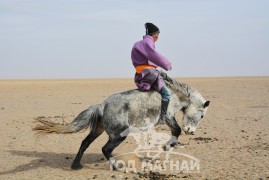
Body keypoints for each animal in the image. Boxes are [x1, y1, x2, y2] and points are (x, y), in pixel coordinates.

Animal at [32, 76, 209, 170]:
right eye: (201, 115)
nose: (191, 131)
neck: (174, 94)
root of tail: (102, 106)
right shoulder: (169, 117)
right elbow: (177, 130)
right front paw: (167, 146)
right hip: (118, 136)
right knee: (105, 149)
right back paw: (117, 167)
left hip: (98, 130)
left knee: (85, 143)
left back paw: (76, 165)